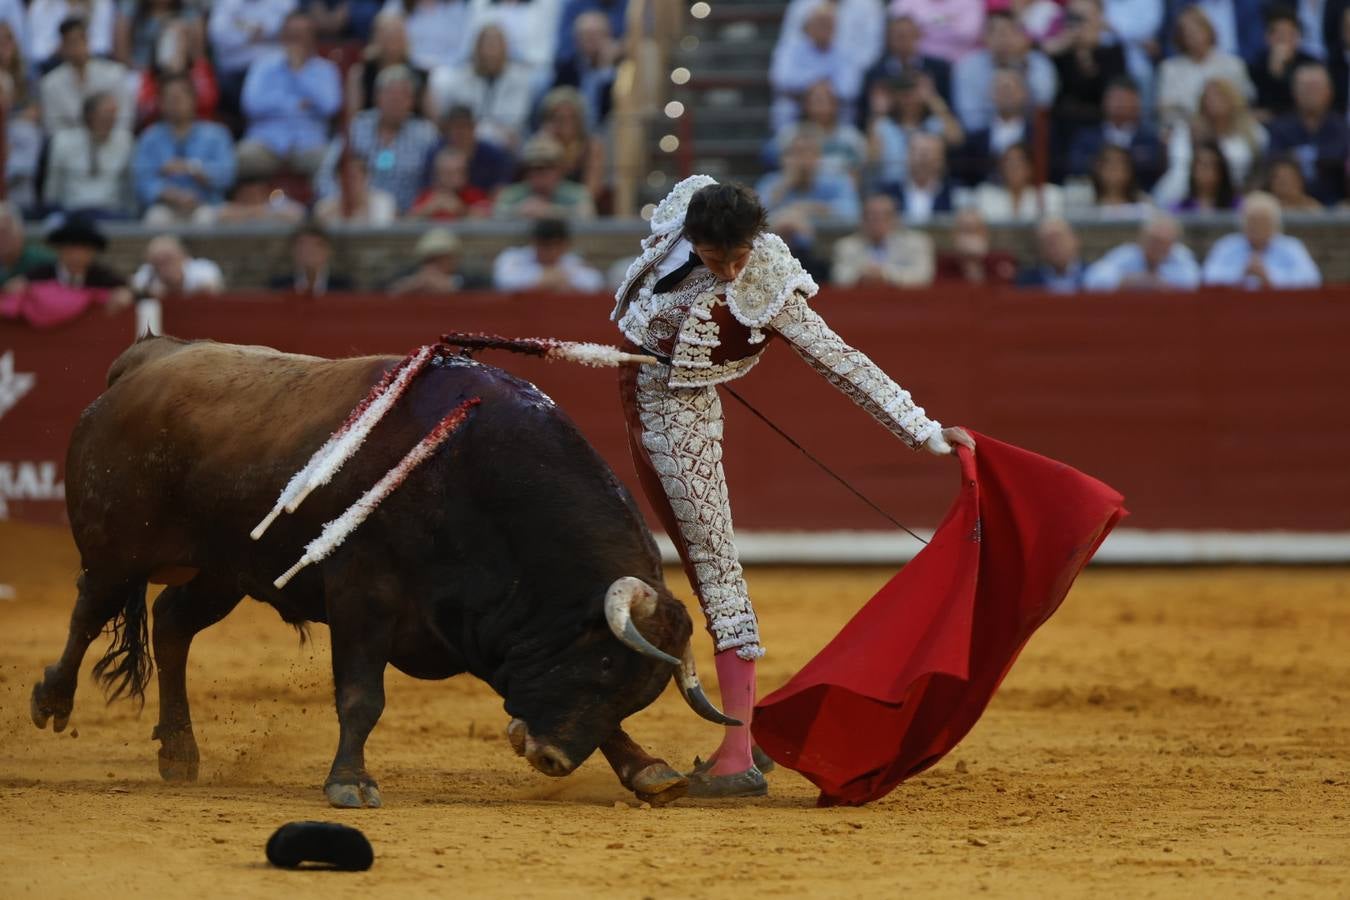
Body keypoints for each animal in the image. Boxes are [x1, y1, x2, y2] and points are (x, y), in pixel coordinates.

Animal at [29, 335, 729, 809]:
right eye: (605, 662)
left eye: (635, 689)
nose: (549, 758)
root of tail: (146, 361)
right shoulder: (362, 600)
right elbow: (362, 696)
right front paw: (350, 783)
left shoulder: (470, 622)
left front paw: (649, 770)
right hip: (119, 548)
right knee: (90, 608)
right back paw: (52, 700)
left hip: (225, 570)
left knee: (172, 622)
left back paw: (178, 751)